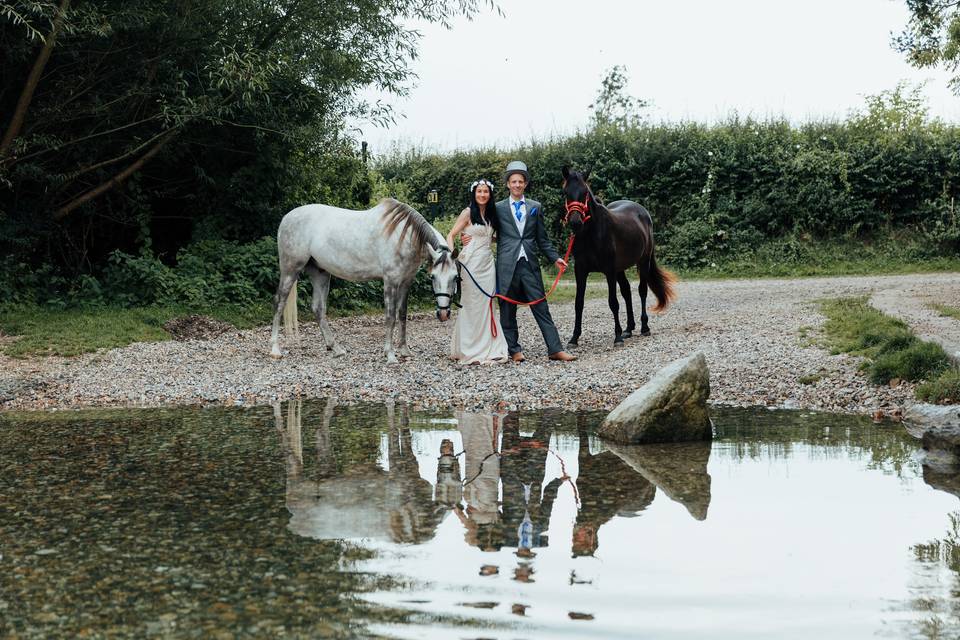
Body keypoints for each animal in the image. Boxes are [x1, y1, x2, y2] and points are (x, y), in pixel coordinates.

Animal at [564, 165, 676, 344]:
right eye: (565, 192)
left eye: (585, 192)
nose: (575, 222)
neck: (591, 233)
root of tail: (642, 210)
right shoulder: (580, 270)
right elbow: (578, 303)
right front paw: (574, 338)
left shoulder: (609, 270)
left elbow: (613, 302)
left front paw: (616, 336)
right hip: (620, 269)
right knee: (626, 291)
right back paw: (629, 328)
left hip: (643, 262)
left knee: (642, 291)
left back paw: (644, 327)